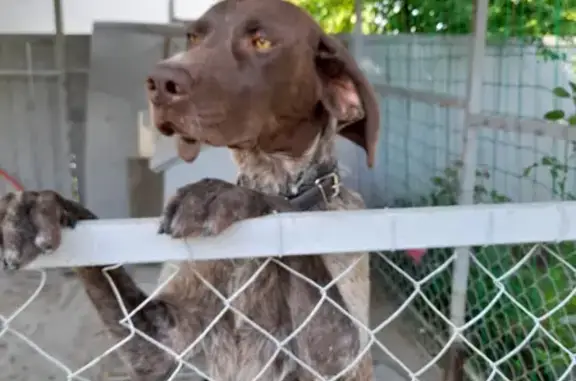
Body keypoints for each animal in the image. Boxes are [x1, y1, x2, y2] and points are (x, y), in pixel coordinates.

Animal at [1, 0, 382, 378]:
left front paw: (222, 194)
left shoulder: (340, 357)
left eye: (261, 41)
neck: (269, 172)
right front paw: (35, 207)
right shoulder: (160, 337)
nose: (159, 81)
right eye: (194, 38)